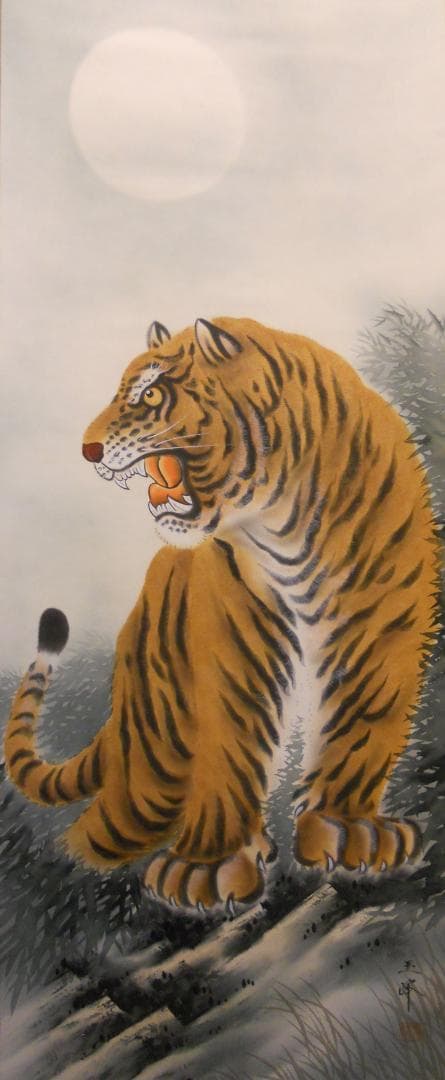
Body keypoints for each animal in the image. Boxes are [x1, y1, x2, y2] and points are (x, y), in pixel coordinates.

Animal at [4, 316, 440, 911]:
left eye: (153, 394)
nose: (88, 448)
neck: (286, 521)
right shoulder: (234, 645)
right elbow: (228, 750)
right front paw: (203, 868)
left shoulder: (382, 633)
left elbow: (362, 729)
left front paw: (352, 831)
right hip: (152, 769)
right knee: (95, 835)